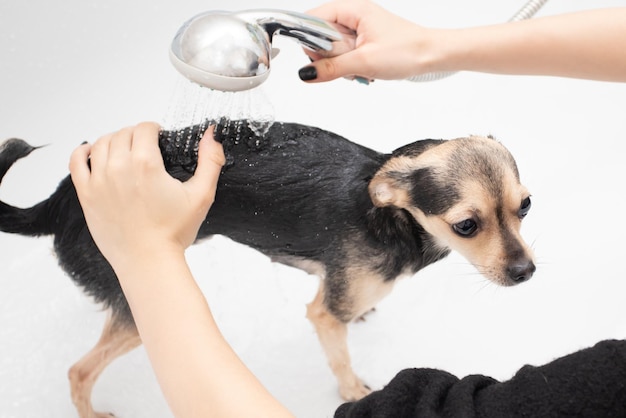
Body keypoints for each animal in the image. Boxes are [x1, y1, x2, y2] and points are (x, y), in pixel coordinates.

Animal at [0, 121, 532, 418]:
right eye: (466, 225)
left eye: (526, 206)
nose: (527, 271)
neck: (391, 215)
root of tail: (58, 201)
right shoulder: (324, 315)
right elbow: (339, 356)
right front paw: (352, 391)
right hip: (136, 312)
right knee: (78, 371)